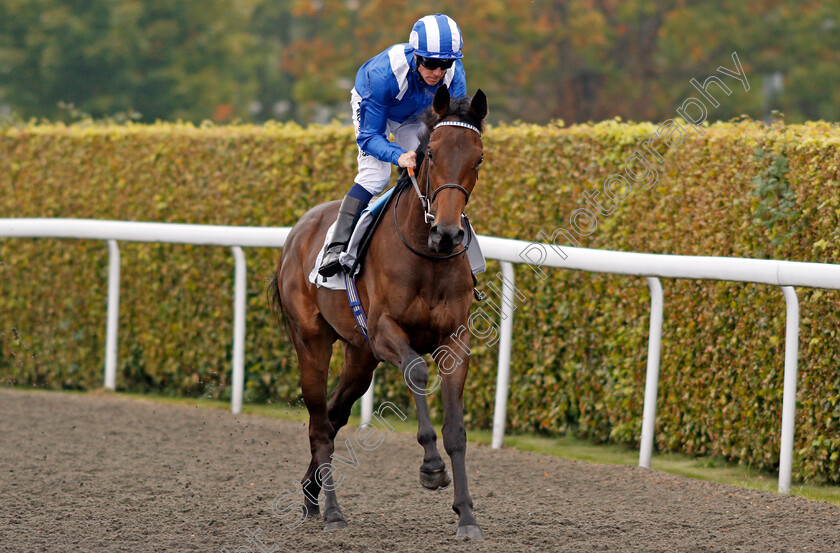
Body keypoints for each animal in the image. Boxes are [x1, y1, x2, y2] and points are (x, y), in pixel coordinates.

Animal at [270, 87, 486, 540]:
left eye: (477, 158)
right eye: (431, 154)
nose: (448, 233)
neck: (428, 255)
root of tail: (299, 229)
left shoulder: (455, 340)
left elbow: (456, 430)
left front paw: (466, 515)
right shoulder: (387, 331)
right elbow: (417, 371)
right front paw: (431, 468)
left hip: (360, 356)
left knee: (334, 416)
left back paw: (311, 495)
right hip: (312, 342)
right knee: (319, 423)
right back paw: (332, 511)